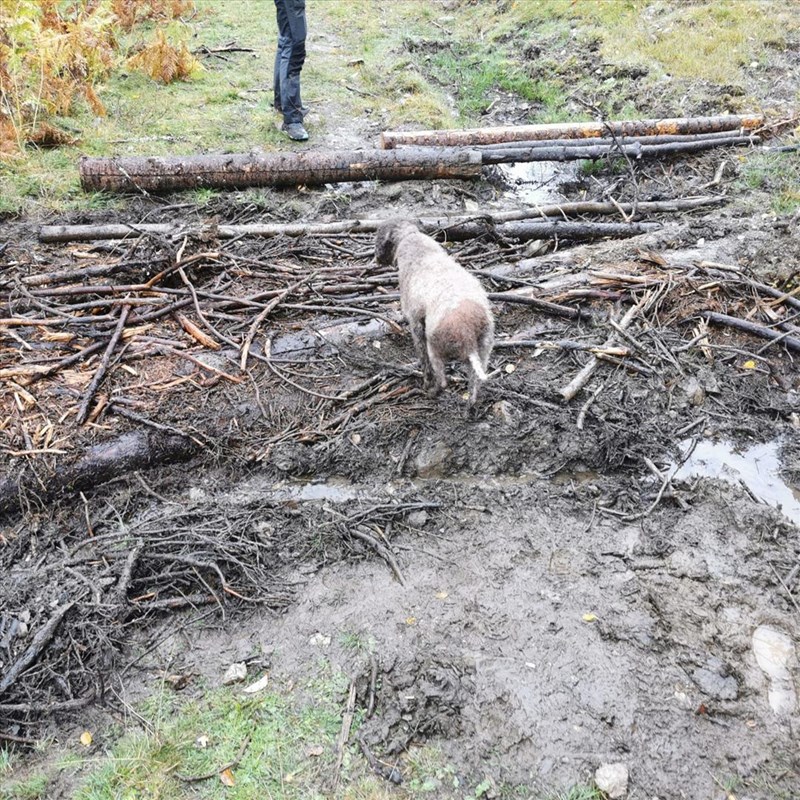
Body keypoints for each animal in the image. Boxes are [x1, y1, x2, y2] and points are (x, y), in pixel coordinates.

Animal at [376, 219, 494, 406]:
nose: (376, 259)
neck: (412, 239)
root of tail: (467, 331)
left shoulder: (415, 321)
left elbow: (423, 361)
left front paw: (426, 384)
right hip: (484, 351)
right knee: (474, 388)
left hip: (436, 349)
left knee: (443, 382)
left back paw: (432, 392)